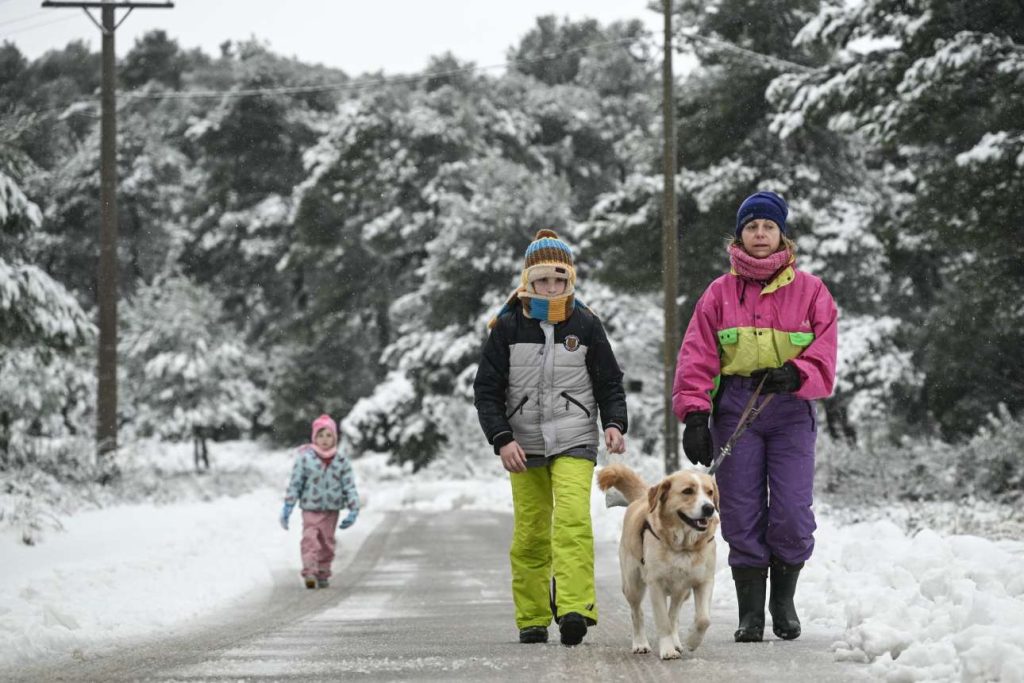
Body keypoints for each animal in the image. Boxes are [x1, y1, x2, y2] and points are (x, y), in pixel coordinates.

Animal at [598, 462, 716, 659]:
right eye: (688, 491)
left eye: (710, 492)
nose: (709, 508)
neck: (683, 546)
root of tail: (642, 497)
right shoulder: (656, 584)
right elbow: (662, 621)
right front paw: (667, 649)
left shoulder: (704, 581)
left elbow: (703, 619)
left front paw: (692, 641)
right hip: (633, 584)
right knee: (637, 613)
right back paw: (640, 643)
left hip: (682, 591)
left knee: (674, 615)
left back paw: (677, 641)